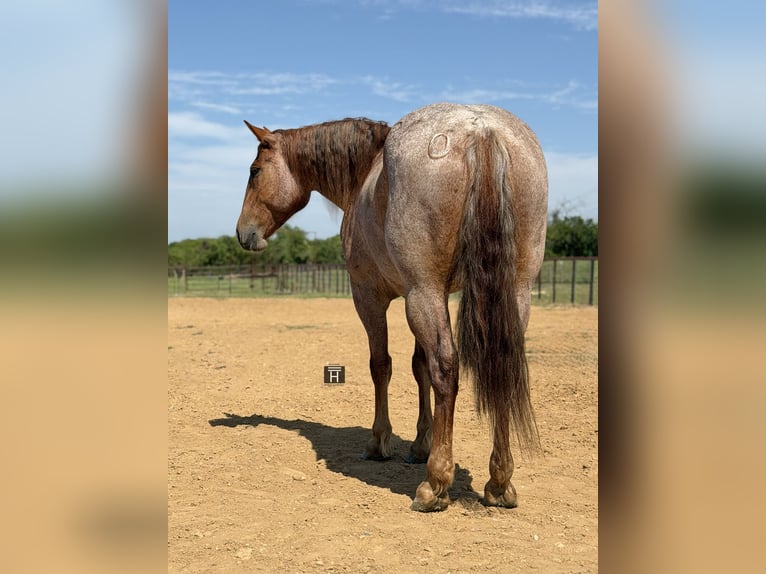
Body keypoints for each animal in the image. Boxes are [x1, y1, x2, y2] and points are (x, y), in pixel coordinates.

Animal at [236, 103, 548, 512]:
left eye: (255, 171)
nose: (243, 233)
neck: (366, 174)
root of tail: (480, 129)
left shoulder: (372, 297)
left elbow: (381, 365)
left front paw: (380, 442)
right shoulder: (432, 295)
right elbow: (419, 368)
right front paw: (419, 444)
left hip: (422, 293)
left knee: (446, 367)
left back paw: (435, 485)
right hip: (510, 293)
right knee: (500, 365)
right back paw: (499, 482)